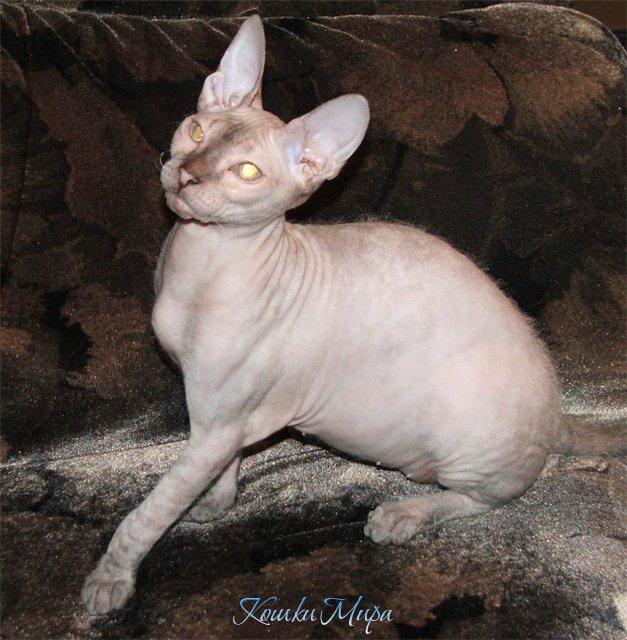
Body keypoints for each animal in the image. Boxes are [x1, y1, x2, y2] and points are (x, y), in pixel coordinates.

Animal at [82, 15, 625, 615]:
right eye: (197, 131)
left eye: (246, 172)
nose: (185, 175)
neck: (198, 265)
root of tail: (556, 415)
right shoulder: (231, 419)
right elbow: (229, 465)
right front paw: (215, 503)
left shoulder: (215, 424)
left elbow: (149, 512)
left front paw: (110, 578)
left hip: (465, 429)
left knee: (496, 494)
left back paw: (404, 513)